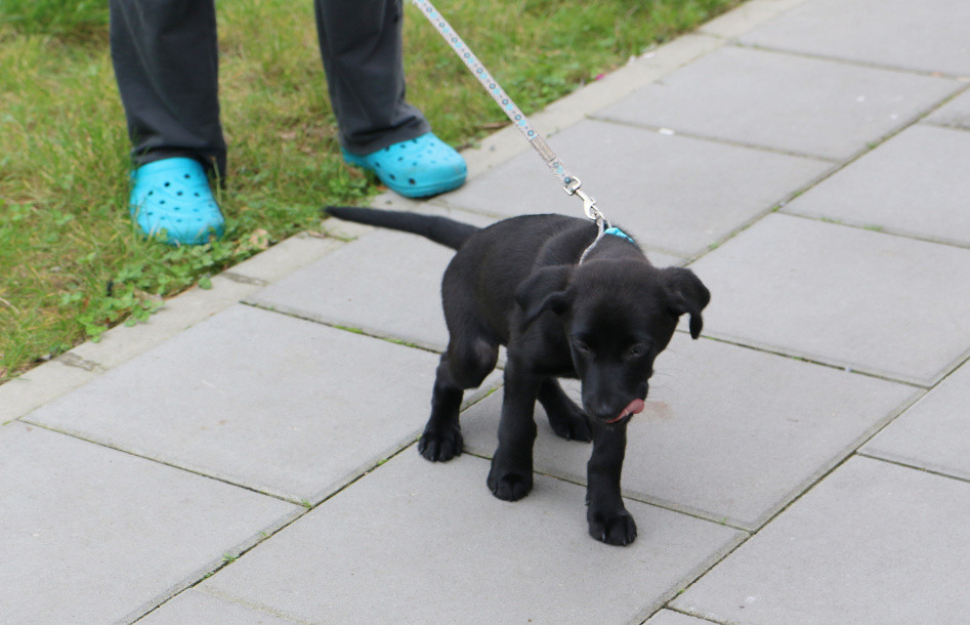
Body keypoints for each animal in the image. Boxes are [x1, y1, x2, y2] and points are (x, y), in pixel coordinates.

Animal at [322, 206, 708, 544]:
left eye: (637, 349)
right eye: (582, 345)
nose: (602, 410)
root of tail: (474, 237)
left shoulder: (621, 391)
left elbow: (608, 456)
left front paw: (608, 513)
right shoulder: (528, 365)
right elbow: (516, 424)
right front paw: (510, 473)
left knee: (544, 379)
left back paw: (568, 415)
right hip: (476, 353)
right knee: (446, 369)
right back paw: (440, 433)